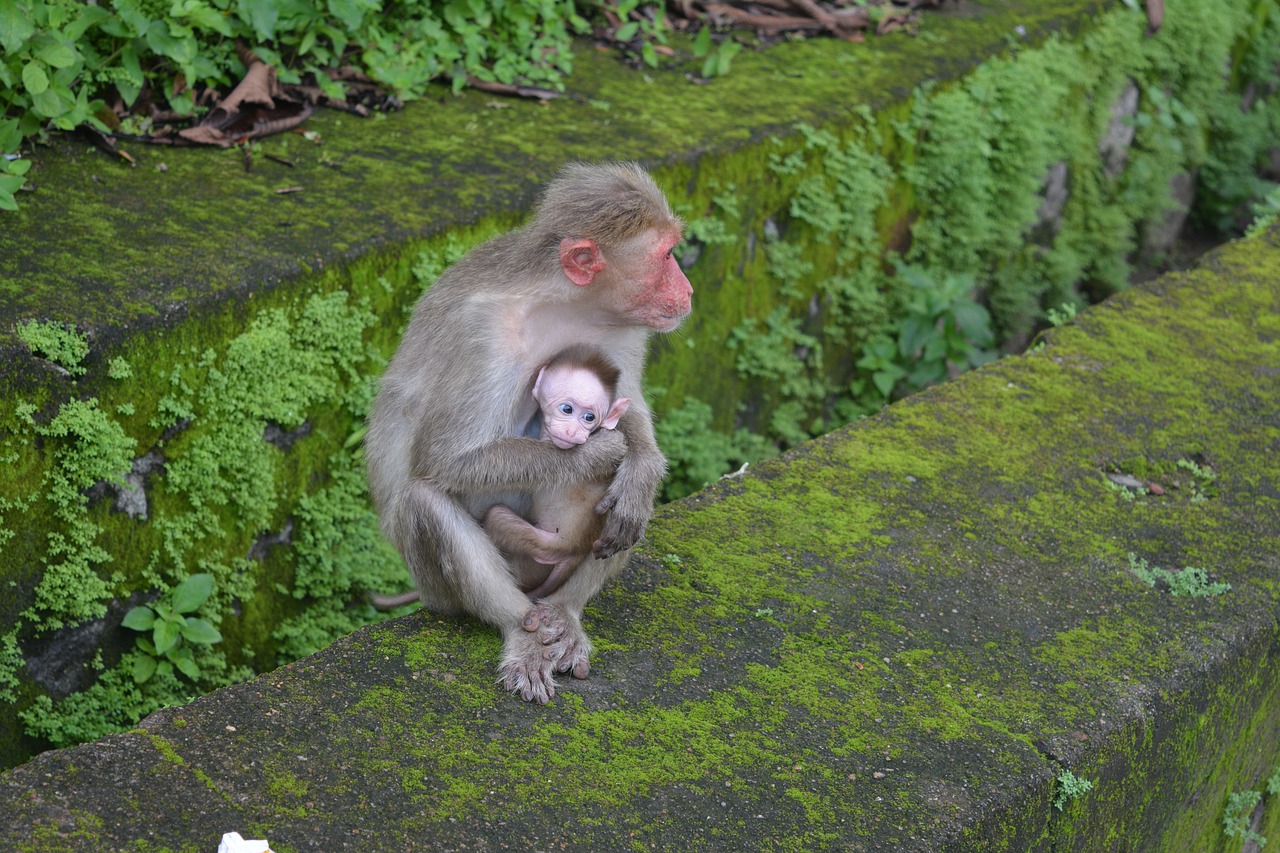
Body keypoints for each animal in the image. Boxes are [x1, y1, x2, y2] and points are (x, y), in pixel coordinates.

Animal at [481, 343, 632, 601]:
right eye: (567, 409)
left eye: (589, 417)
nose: (572, 431)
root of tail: (578, 550)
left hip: (551, 544)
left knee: (497, 517)